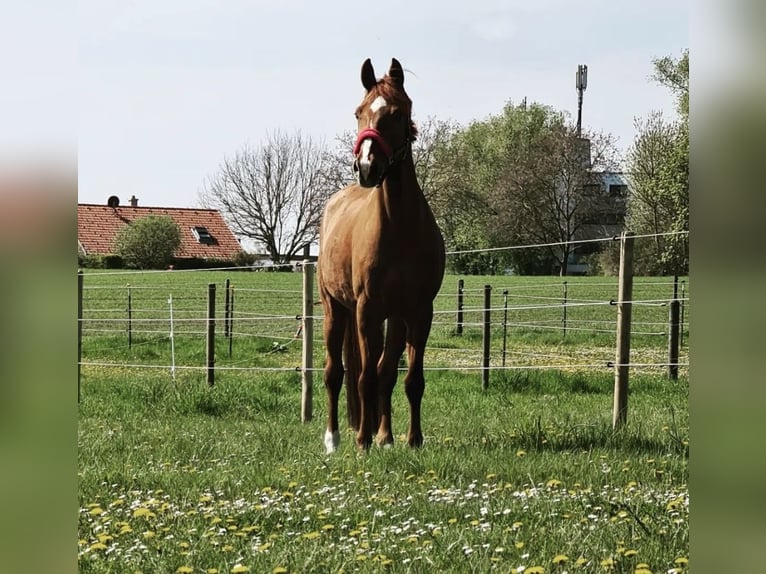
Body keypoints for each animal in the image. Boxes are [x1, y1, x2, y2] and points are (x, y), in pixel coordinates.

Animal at [320, 58, 450, 454]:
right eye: (358, 112)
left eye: (396, 112)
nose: (366, 168)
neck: (400, 228)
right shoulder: (367, 310)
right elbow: (364, 378)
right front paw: (362, 441)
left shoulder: (418, 312)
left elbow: (407, 378)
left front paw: (410, 440)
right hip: (335, 309)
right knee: (335, 373)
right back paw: (334, 439)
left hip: (392, 317)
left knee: (384, 371)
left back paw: (385, 435)